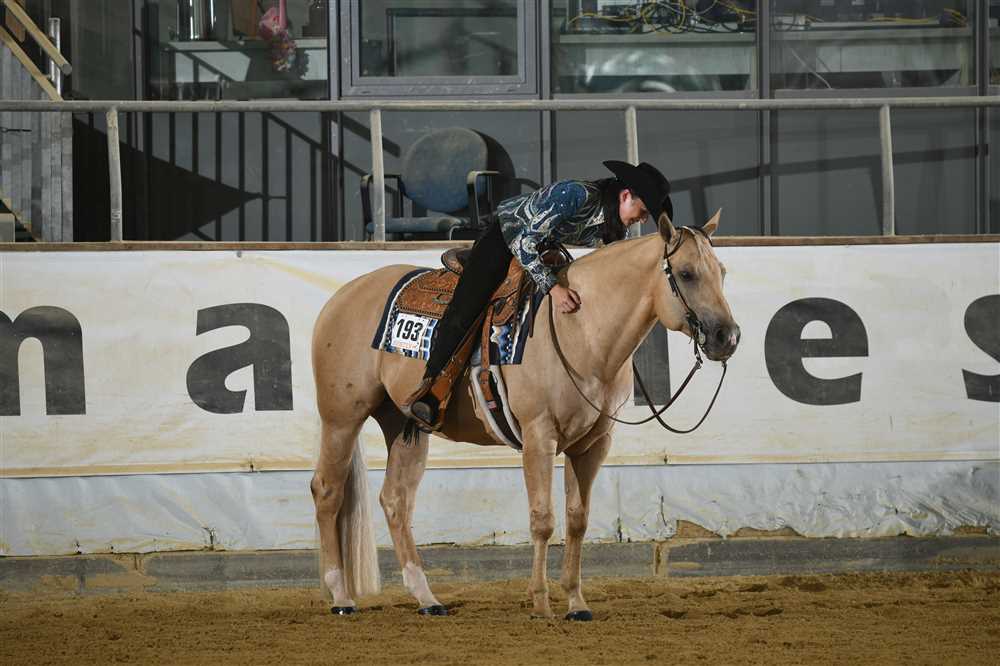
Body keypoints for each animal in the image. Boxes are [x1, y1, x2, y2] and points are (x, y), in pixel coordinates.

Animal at [309, 210, 740, 619]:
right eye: (686, 273)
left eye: (721, 271)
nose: (727, 336)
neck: (581, 328)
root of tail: (342, 297)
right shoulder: (539, 436)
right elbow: (543, 519)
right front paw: (540, 603)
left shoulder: (592, 444)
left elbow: (578, 520)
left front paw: (576, 603)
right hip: (341, 418)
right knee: (327, 491)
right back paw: (341, 595)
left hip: (404, 425)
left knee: (396, 500)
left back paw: (427, 598)